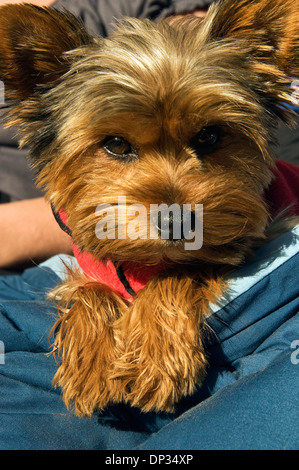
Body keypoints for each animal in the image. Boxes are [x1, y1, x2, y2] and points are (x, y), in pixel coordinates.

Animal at [0, 0, 298, 416]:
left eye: (210, 135)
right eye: (115, 144)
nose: (176, 220)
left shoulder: (253, 238)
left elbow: (182, 270)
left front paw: (153, 357)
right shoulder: (90, 263)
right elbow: (91, 288)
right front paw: (93, 362)